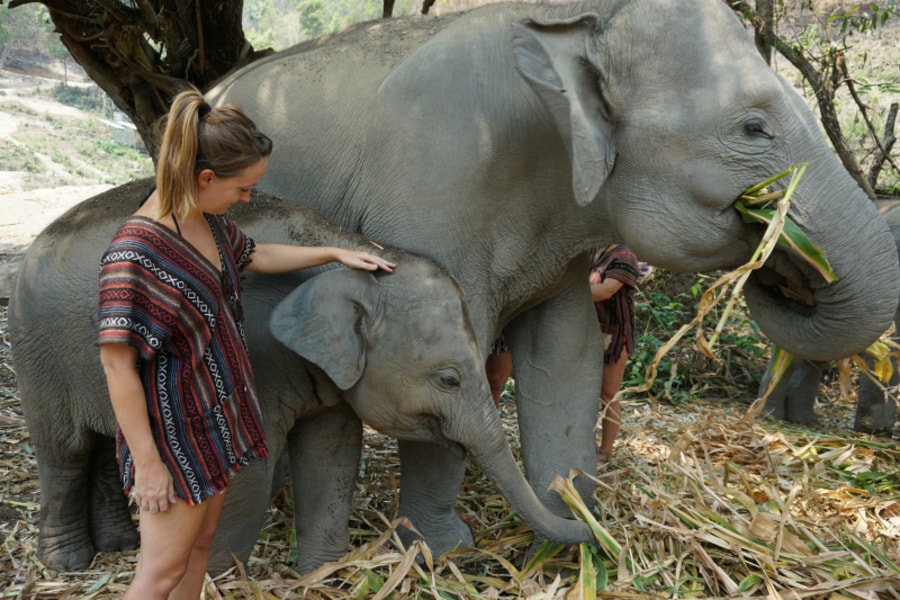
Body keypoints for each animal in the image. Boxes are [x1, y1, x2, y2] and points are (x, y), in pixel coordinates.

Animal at [10, 180, 596, 576]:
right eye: (449, 379)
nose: (570, 499)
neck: (359, 255)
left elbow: (332, 450)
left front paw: (323, 574)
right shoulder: (249, 353)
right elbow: (252, 465)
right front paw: (221, 579)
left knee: (106, 444)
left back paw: (120, 546)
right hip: (35, 352)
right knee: (64, 451)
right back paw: (67, 563)